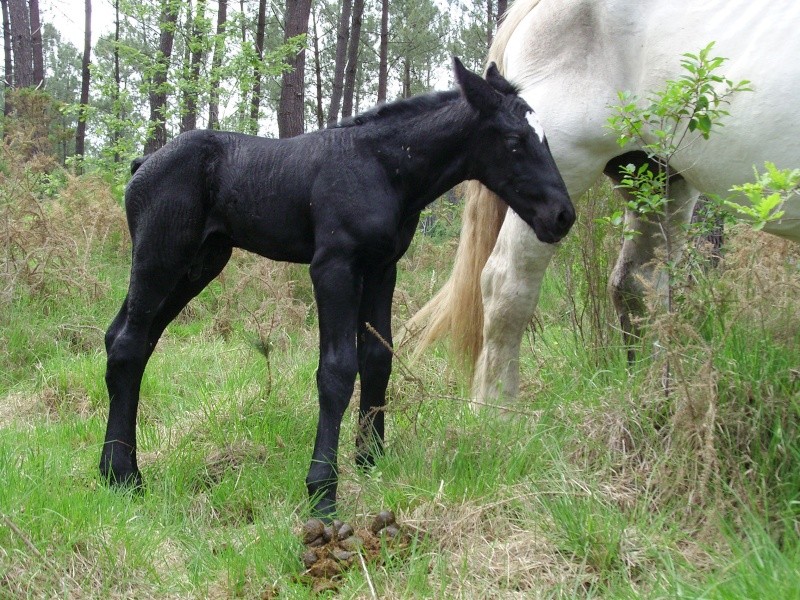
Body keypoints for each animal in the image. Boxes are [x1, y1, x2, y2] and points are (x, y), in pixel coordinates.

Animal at [410, 0, 800, 406]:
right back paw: (496, 410)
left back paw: (653, 400)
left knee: (639, 285)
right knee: (505, 283)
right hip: (563, 174)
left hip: (658, 180)